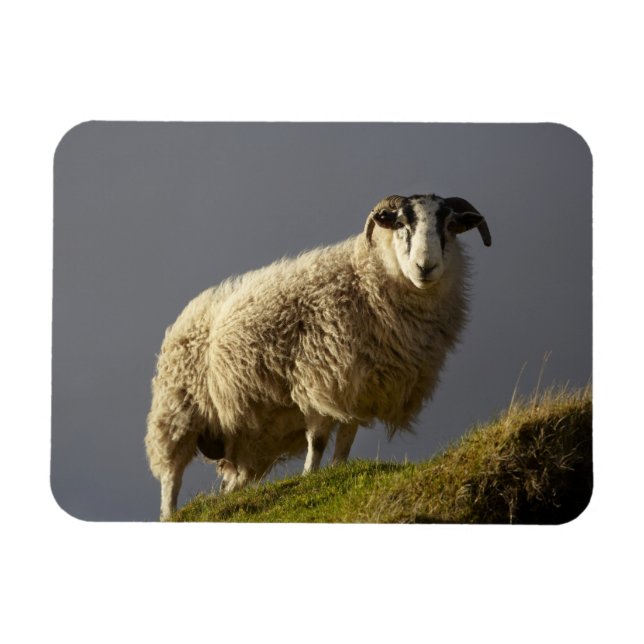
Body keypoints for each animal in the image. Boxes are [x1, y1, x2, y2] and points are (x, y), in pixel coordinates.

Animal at [145, 192, 491, 520]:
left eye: (450, 226)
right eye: (401, 224)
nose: (425, 267)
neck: (367, 276)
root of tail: (184, 316)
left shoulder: (359, 390)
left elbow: (346, 439)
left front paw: (338, 471)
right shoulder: (317, 378)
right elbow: (318, 440)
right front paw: (310, 477)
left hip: (251, 440)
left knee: (232, 482)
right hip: (177, 412)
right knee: (171, 477)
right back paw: (171, 515)